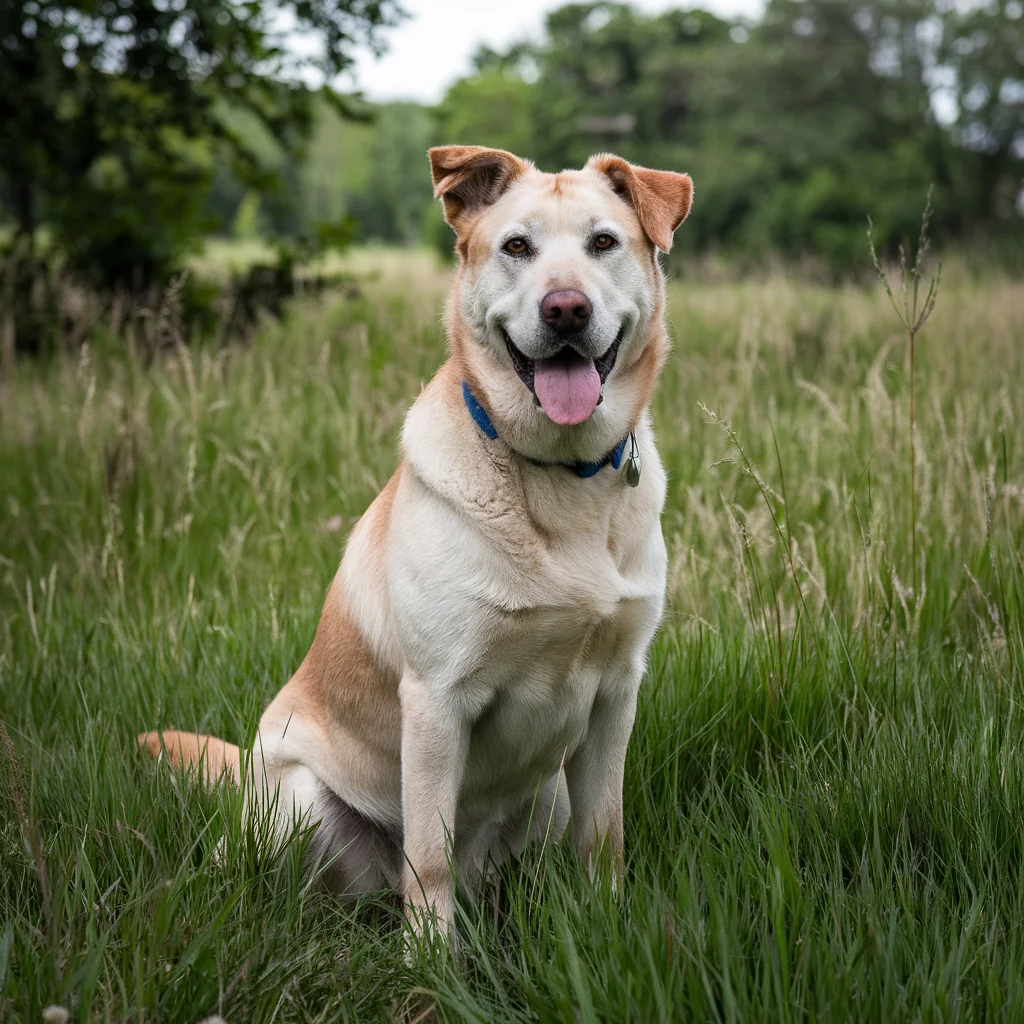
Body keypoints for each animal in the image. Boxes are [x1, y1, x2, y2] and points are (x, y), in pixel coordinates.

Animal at [140, 144, 692, 937]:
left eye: (604, 243)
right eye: (516, 247)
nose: (566, 308)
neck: (561, 475)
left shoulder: (615, 694)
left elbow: (605, 836)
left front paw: (608, 930)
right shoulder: (436, 700)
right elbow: (427, 860)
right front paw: (431, 961)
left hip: (549, 792)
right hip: (296, 804)